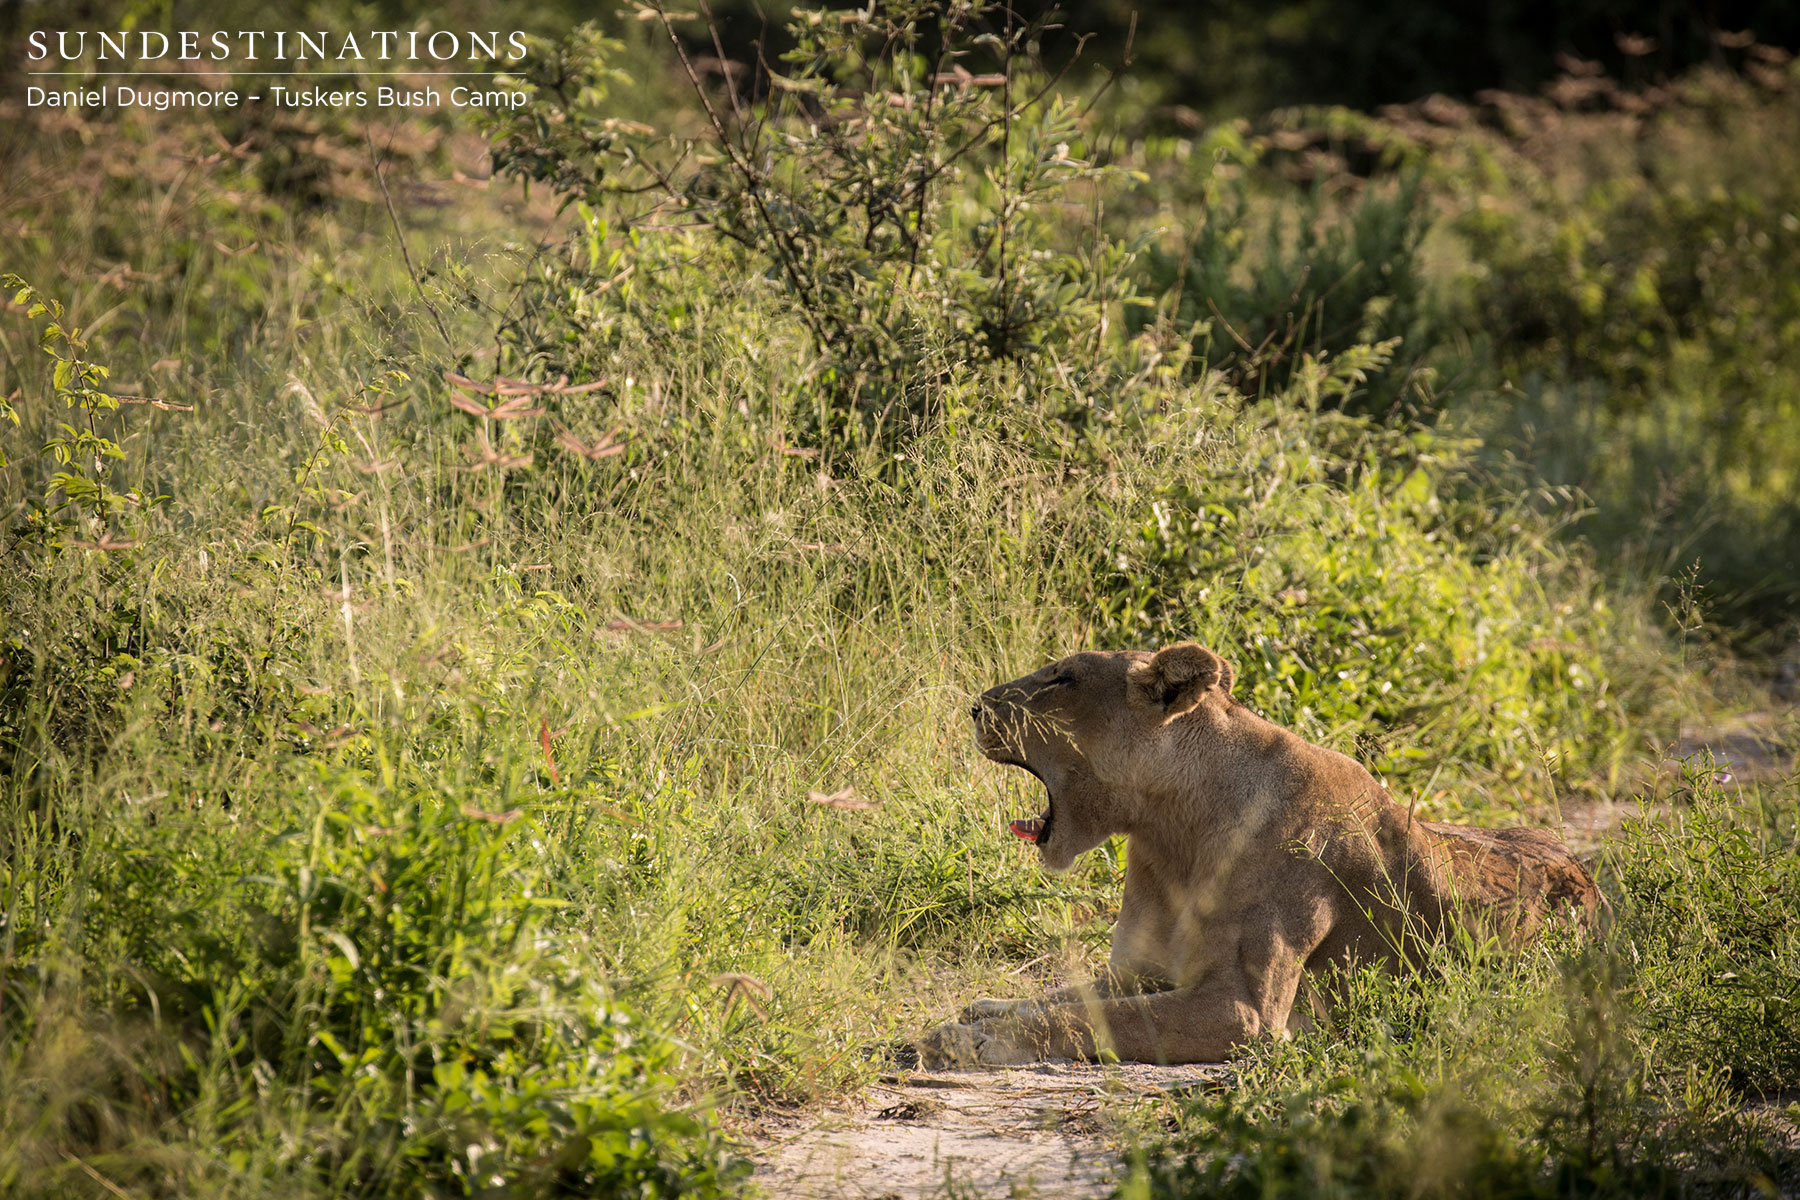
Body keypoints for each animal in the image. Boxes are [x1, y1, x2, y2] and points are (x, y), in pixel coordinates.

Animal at [918, 643, 1600, 1067]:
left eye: (1061, 678)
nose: (972, 706)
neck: (1172, 835)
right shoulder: (1136, 971)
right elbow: (1065, 997)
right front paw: (982, 1007)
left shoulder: (1241, 1011)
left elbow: (1093, 1021)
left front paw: (963, 1040)